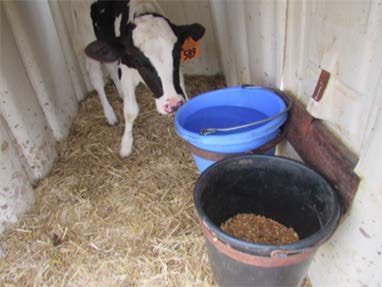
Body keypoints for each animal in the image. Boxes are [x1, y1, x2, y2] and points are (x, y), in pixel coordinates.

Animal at [71, 0, 203, 158]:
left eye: (177, 55)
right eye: (139, 63)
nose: (173, 104)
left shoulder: (177, 74)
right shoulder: (126, 68)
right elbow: (130, 110)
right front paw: (126, 144)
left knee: (111, 67)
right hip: (86, 36)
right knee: (96, 79)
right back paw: (109, 114)